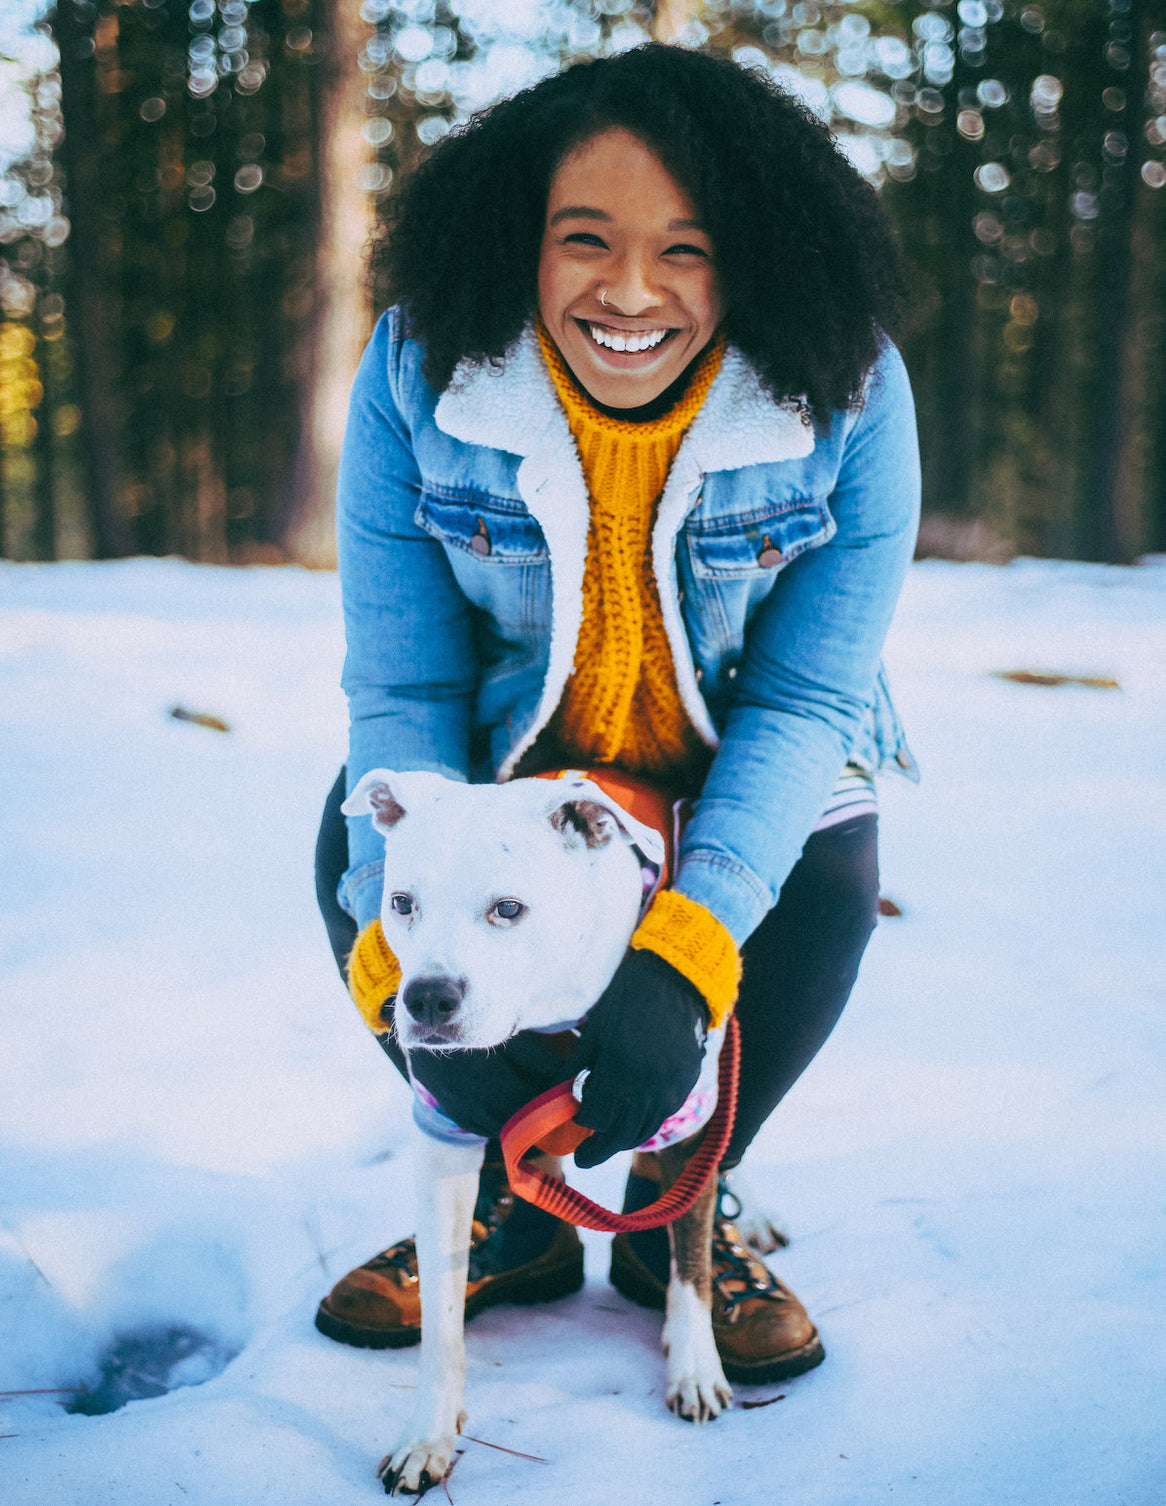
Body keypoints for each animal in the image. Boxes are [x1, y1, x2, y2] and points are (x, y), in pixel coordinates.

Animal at [341, 771, 735, 1499]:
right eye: (403, 903)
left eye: (508, 909)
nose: (428, 997)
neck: (549, 1010)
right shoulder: (443, 1136)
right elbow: (441, 1315)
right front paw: (427, 1437)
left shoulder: (685, 1116)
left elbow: (691, 1262)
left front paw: (696, 1368)